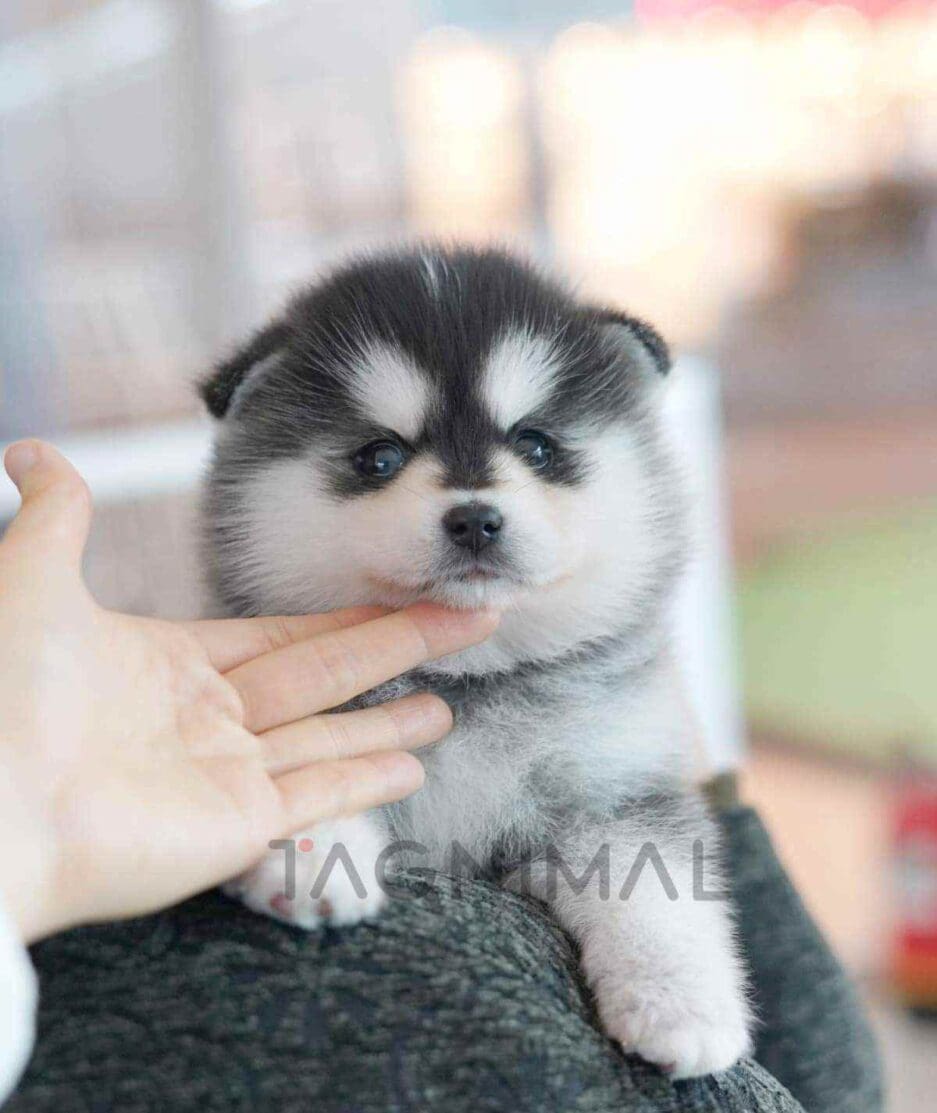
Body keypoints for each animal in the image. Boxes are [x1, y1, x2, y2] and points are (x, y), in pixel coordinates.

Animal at [199, 246, 752, 1078]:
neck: (471, 675)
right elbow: (311, 760)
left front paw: (679, 1003)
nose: (473, 519)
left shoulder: (611, 783)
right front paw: (309, 852)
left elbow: (654, 890)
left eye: (537, 445)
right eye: (378, 456)